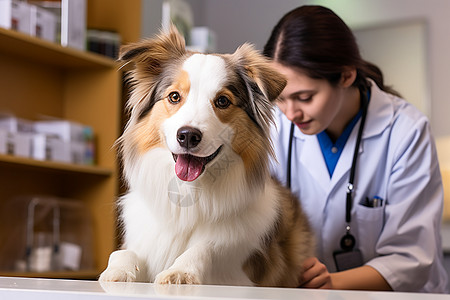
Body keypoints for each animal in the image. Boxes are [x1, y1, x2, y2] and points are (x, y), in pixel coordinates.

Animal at [100, 28, 314, 288]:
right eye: (174, 97)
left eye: (222, 101)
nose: (187, 136)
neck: (188, 193)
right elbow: (122, 253)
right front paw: (118, 272)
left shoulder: (241, 270)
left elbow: (207, 247)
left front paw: (181, 271)